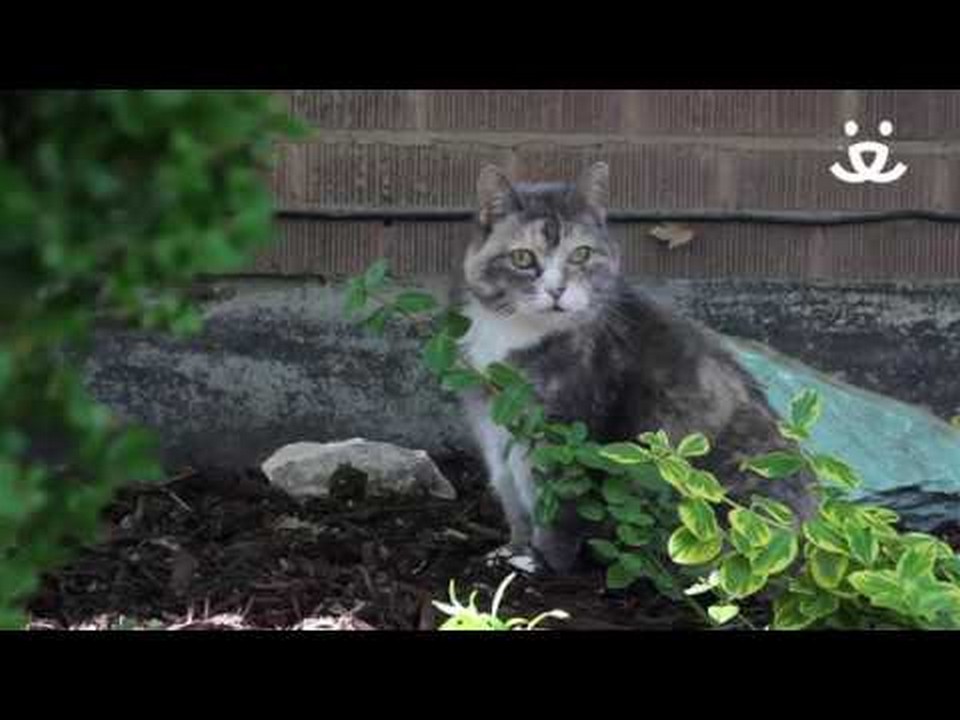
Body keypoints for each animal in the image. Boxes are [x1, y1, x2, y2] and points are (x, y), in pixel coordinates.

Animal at [454, 162, 812, 572]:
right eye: (522, 258)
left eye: (581, 254)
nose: (557, 291)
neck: (516, 332)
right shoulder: (490, 422)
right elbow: (509, 491)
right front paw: (512, 549)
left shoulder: (569, 430)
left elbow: (558, 503)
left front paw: (543, 563)